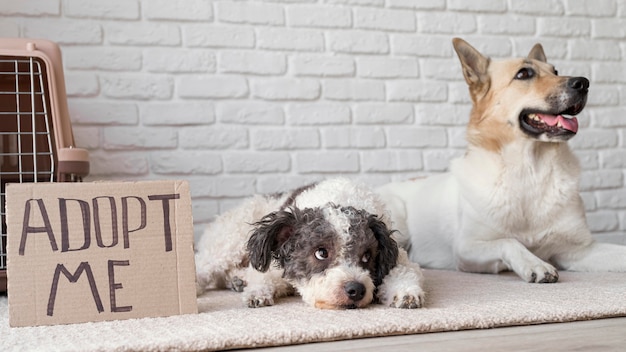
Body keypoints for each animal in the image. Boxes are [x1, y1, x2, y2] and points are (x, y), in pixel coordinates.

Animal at [195, 177, 424, 310]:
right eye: (321, 253)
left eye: (367, 256)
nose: (356, 290)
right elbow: (262, 277)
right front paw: (257, 292)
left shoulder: (397, 255)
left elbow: (405, 270)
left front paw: (406, 292)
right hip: (229, 242)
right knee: (206, 266)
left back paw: (237, 280)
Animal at [376, 37, 624, 282]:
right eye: (524, 74)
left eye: (555, 71)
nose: (584, 83)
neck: (530, 169)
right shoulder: (466, 249)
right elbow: (509, 241)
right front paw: (535, 264)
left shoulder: (579, 250)